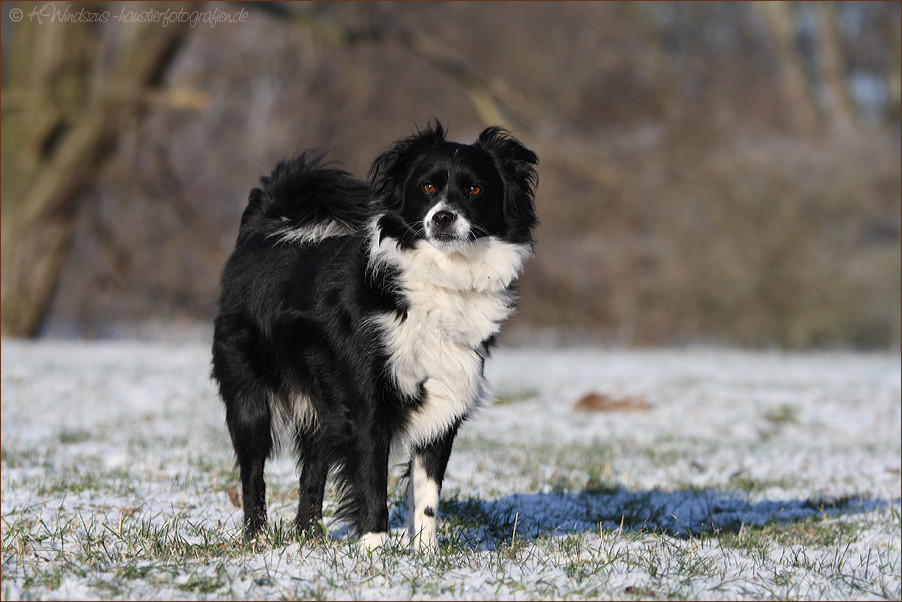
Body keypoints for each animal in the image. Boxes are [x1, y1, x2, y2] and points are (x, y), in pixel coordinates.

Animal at [212, 120, 536, 548]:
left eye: (475, 190)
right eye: (427, 187)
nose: (443, 218)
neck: (443, 275)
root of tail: (266, 228)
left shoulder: (444, 399)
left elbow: (427, 493)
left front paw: (426, 554)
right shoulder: (367, 404)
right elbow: (370, 484)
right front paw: (375, 552)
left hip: (322, 406)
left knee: (313, 468)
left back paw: (309, 537)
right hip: (249, 393)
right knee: (253, 470)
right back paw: (257, 539)